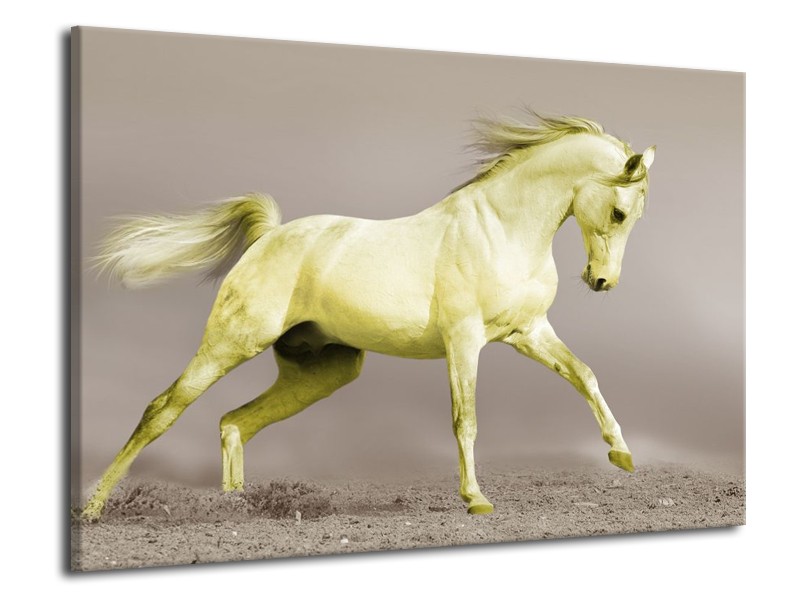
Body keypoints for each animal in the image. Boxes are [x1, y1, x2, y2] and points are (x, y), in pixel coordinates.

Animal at [80, 113, 655, 519]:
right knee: (162, 410)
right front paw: (475, 499)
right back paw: (92, 507)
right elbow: (465, 419)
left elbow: (584, 375)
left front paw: (622, 456)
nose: (602, 281)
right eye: (620, 212)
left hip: (322, 372)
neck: (499, 229)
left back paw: (235, 506)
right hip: (230, 343)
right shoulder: (464, 341)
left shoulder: (528, 332)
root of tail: (270, 235)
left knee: (235, 422)